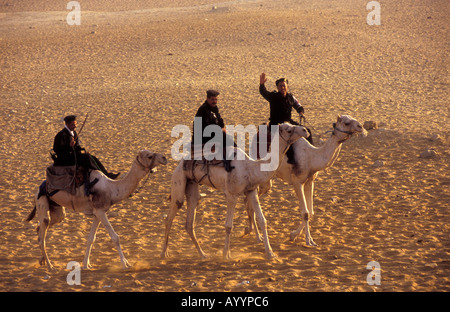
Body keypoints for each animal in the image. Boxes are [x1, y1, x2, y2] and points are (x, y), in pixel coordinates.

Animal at [25, 149, 165, 270]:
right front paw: (126, 264)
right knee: (42, 234)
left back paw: (42, 260)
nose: (164, 158)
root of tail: (40, 188)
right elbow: (115, 237)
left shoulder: (97, 213)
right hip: (41, 202)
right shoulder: (100, 212)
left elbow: (91, 239)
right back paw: (50, 266)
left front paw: (86, 265)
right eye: (149, 156)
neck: (112, 189)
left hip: (57, 209)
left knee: (41, 228)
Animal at [161, 123, 310, 260]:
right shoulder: (231, 195)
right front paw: (226, 254)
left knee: (189, 222)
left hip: (192, 186)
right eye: (288, 129)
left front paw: (270, 253)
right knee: (170, 216)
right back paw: (164, 254)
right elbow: (228, 226)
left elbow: (263, 220)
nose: (305, 130)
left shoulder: (251, 191)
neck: (251, 168)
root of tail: (180, 163)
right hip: (178, 180)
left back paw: (202, 254)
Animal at [246, 114, 366, 246]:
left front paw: (293, 235)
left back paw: (250, 230)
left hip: (266, 181)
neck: (311, 157)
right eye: (346, 122)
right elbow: (305, 213)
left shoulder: (310, 181)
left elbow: (311, 212)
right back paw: (258, 236)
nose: (360, 126)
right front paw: (308, 240)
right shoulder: (297, 182)